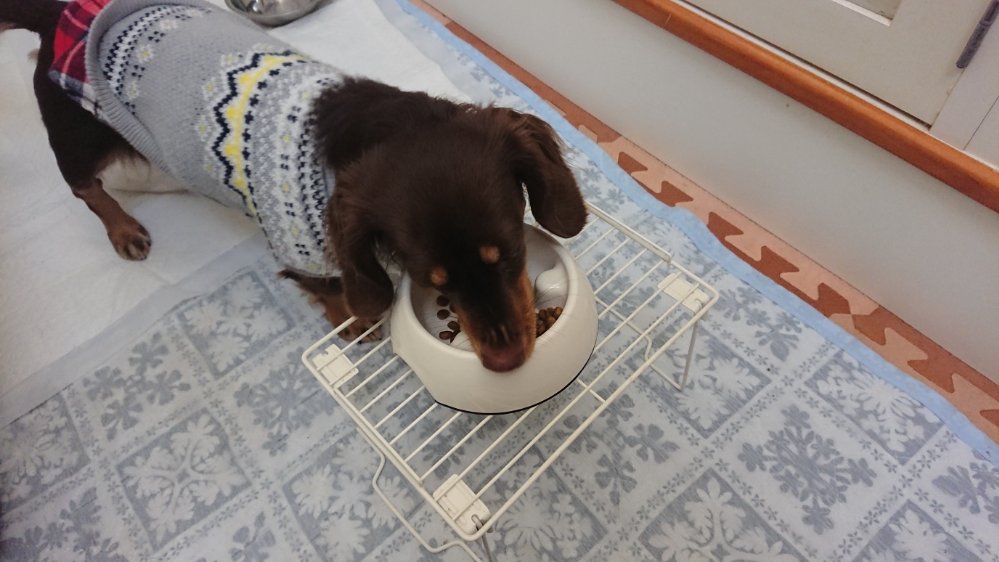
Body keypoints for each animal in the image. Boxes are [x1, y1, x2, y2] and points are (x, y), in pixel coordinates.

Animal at [1, 0, 587, 372]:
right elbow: (330, 289)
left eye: (512, 254)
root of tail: (58, 16)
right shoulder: (302, 247)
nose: (506, 362)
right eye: (432, 281)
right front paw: (352, 320)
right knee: (85, 189)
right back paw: (124, 230)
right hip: (77, 138)